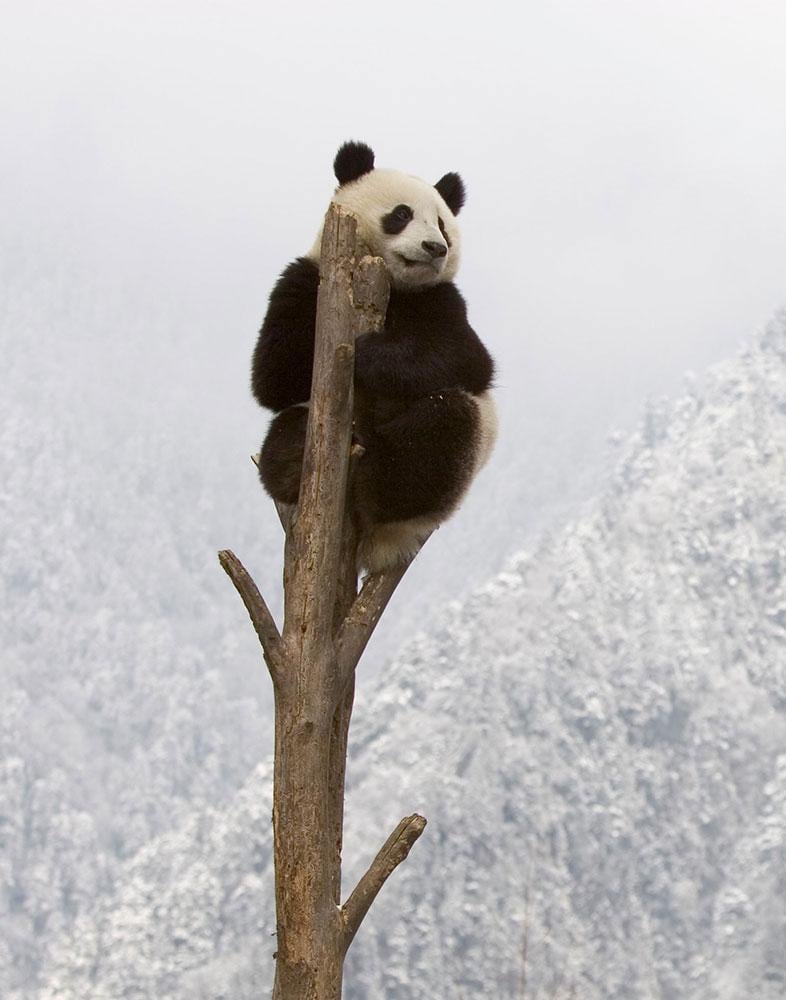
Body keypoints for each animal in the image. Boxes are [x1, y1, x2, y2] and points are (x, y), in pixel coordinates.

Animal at [251, 140, 497, 573]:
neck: (394, 285)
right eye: (401, 214)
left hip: (460, 461)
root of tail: (378, 547)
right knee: (286, 427)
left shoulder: (441, 300)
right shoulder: (304, 276)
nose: (436, 248)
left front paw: (368, 355)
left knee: (439, 433)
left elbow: (466, 359)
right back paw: (294, 459)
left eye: (442, 224)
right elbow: (273, 377)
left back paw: (376, 478)